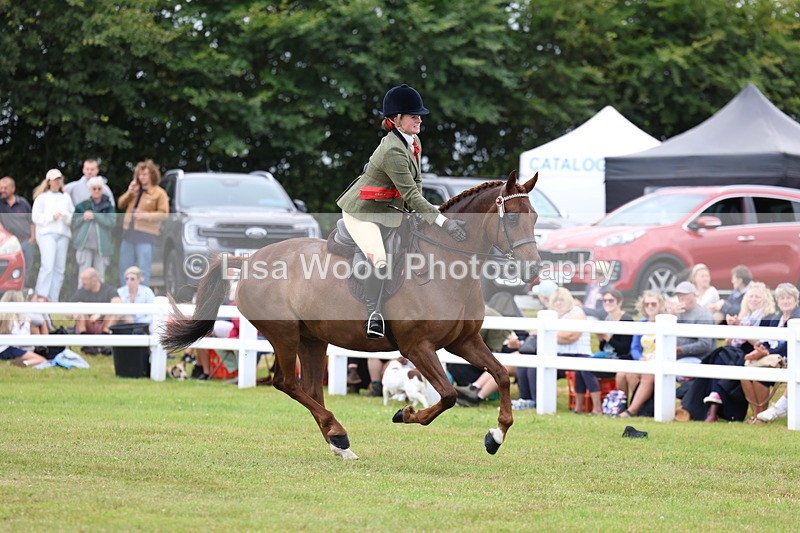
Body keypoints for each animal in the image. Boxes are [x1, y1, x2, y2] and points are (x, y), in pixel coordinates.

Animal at [161, 170, 541, 459]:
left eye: (535, 216)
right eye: (512, 217)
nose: (534, 268)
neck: (444, 262)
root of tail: (249, 259)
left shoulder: (464, 341)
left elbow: (500, 374)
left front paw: (496, 436)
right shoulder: (417, 347)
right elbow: (448, 395)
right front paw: (405, 414)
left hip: (312, 339)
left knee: (310, 389)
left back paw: (339, 442)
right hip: (283, 335)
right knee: (286, 383)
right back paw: (339, 434)